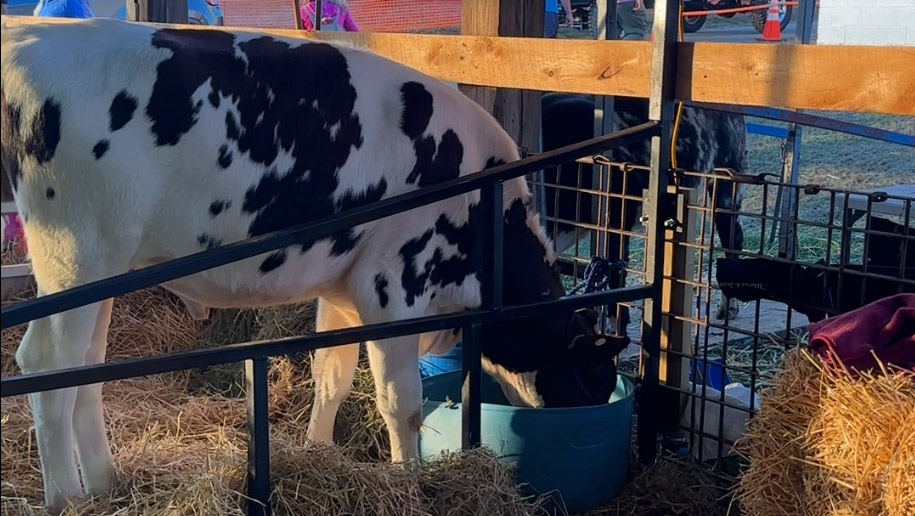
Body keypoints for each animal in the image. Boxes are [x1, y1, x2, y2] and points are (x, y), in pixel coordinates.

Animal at [1, 18, 632, 513]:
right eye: (596, 378)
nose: (594, 408)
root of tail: (26, 38)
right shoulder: (392, 283)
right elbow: (401, 403)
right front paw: (411, 481)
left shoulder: (344, 289)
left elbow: (331, 376)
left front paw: (318, 451)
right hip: (74, 253)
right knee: (45, 364)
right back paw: (66, 499)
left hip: (104, 269)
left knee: (85, 366)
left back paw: (106, 484)